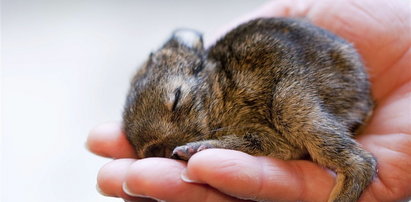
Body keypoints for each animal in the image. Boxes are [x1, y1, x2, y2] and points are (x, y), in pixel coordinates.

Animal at [122, 17, 376, 202]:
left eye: (176, 98)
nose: (155, 150)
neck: (221, 88)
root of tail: (365, 93)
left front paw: (193, 149)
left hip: (288, 102)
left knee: (363, 163)